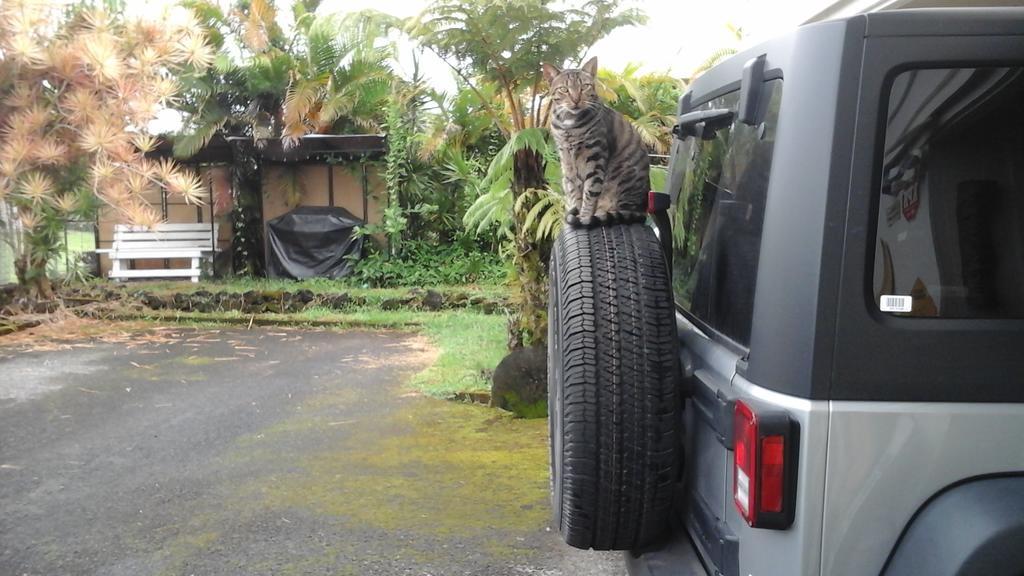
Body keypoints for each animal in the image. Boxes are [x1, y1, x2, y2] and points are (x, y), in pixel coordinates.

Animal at [544, 56, 647, 226]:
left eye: (584, 87)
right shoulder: (567, 161)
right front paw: (575, 213)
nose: (576, 99)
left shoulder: (595, 157)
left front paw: (583, 218)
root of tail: (642, 210)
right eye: (564, 89)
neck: (569, 126)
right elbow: (575, 193)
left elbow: (590, 192)